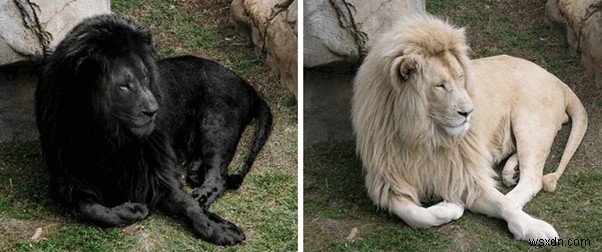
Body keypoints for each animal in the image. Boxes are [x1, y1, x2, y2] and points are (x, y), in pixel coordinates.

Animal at [34, 14, 270, 246]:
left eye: (146, 77)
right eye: (124, 85)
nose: (154, 110)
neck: (108, 136)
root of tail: (246, 83)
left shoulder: (157, 174)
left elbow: (189, 205)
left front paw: (219, 230)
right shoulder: (68, 179)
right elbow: (92, 210)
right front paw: (133, 210)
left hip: (216, 123)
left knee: (219, 178)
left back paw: (200, 195)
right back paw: (194, 172)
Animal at [350, 14, 584, 241]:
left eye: (461, 77)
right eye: (440, 85)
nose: (469, 112)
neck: (423, 136)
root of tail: (556, 78)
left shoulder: (465, 175)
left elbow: (501, 203)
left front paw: (532, 227)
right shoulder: (389, 182)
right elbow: (414, 215)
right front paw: (450, 207)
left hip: (529, 122)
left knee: (531, 180)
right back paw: (510, 171)